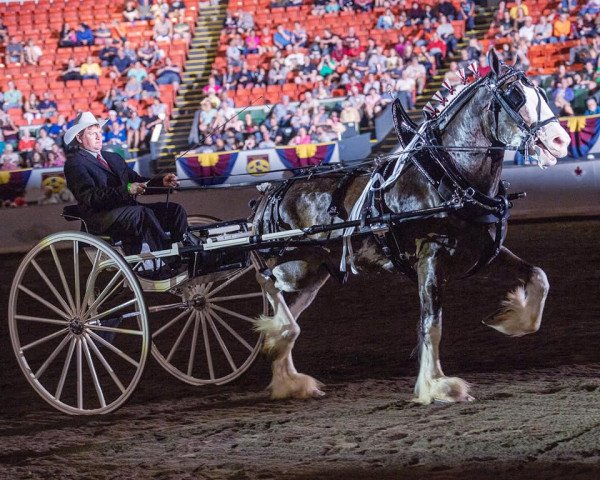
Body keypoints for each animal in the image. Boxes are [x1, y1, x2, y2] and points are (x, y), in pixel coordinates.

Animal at [251, 50, 568, 404]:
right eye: (514, 95)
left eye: (543, 92)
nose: (561, 140)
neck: (446, 177)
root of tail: (271, 192)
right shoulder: (429, 256)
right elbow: (432, 323)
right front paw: (437, 385)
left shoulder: (485, 249)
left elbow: (539, 278)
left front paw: (510, 319)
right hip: (294, 266)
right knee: (265, 280)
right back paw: (280, 339)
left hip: (315, 273)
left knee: (286, 306)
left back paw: (288, 380)